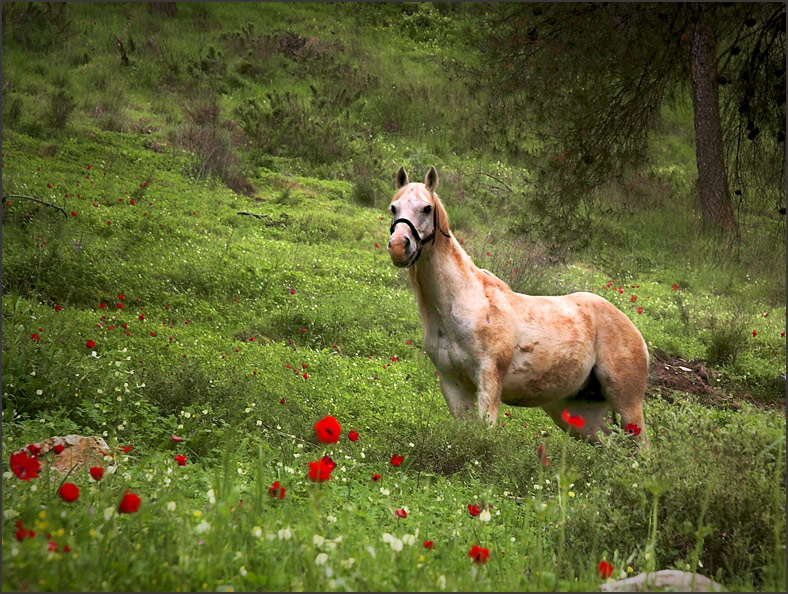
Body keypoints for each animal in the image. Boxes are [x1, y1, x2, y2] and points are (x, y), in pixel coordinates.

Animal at [384, 164, 648, 442]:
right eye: (394, 207)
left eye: (427, 208)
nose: (399, 247)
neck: (464, 304)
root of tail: (633, 329)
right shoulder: (452, 385)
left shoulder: (489, 380)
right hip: (578, 413)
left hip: (627, 404)